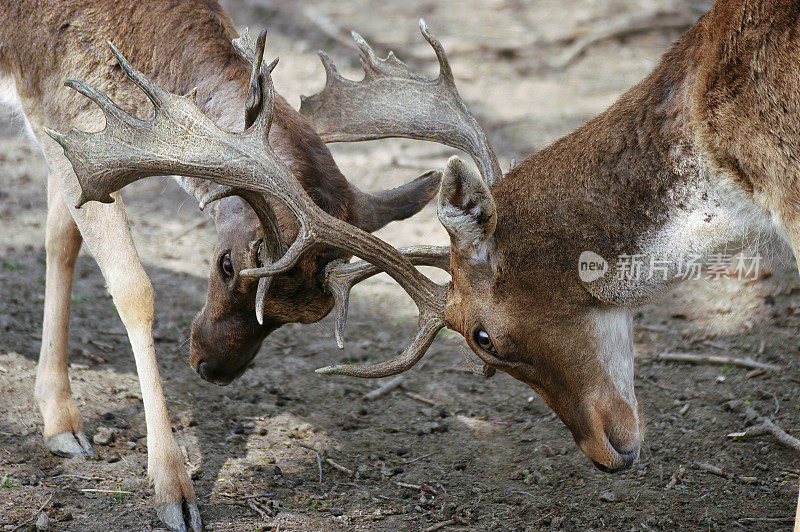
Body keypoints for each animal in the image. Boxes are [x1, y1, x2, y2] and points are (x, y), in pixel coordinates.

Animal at [0, 2, 444, 528]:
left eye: (313, 314)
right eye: (228, 264)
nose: (213, 368)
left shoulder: (72, 136)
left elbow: (61, 240)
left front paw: (58, 421)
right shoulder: (58, 114)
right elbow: (132, 287)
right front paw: (173, 490)